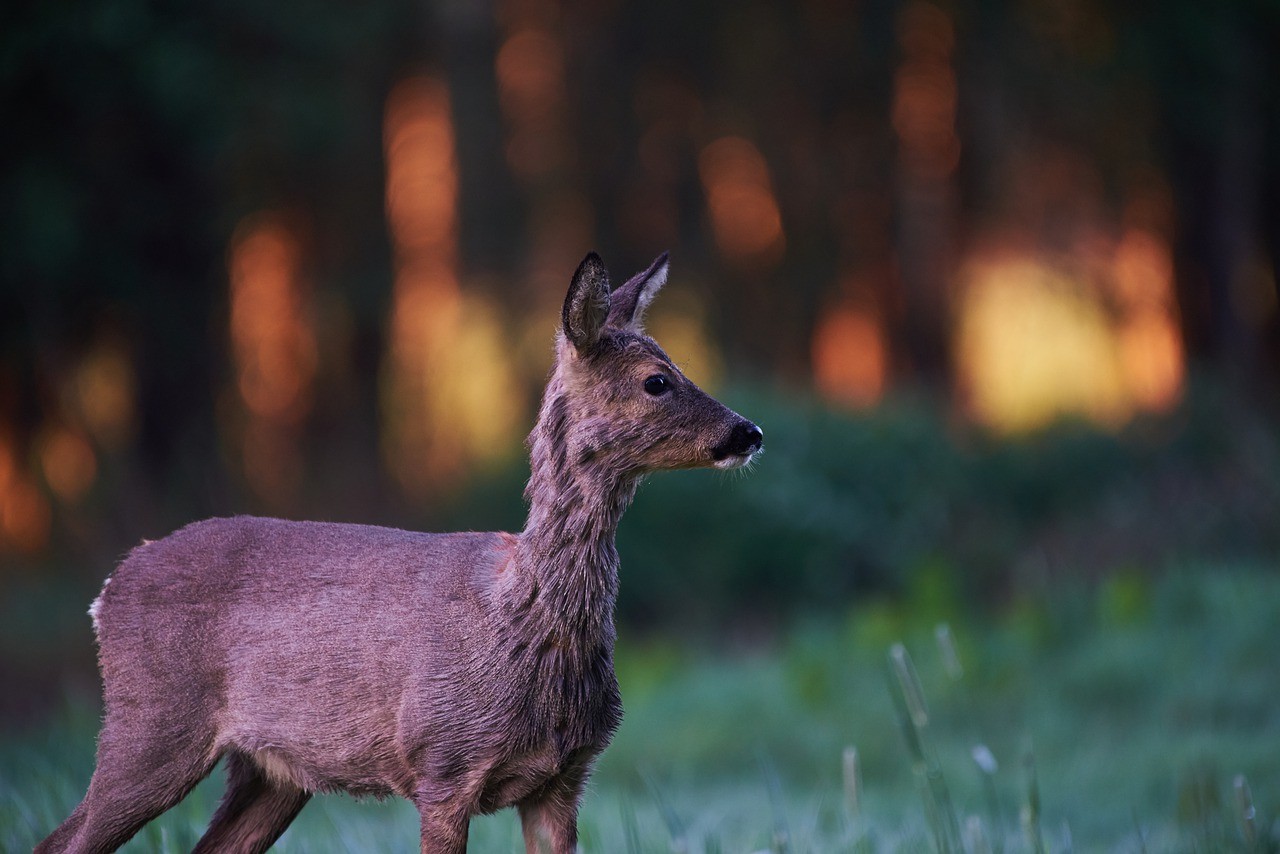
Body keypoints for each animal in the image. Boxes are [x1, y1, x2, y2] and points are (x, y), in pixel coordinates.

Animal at [37, 252, 757, 854]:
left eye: (677, 366)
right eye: (657, 381)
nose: (747, 432)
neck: (523, 624)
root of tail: (109, 588)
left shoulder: (563, 781)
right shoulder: (441, 764)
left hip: (271, 772)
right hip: (152, 723)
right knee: (65, 841)